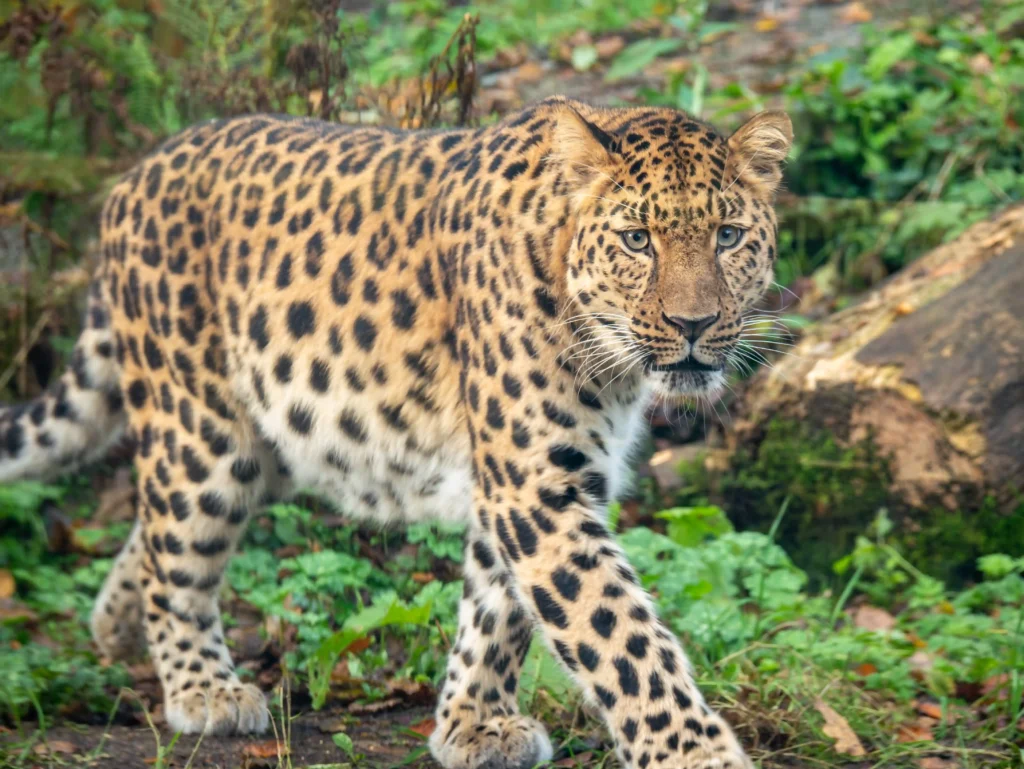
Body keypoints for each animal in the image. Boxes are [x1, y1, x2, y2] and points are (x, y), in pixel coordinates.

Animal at [2, 96, 790, 769]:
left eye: (728, 237)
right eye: (636, 240)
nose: (693, 325)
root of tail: (135, 175)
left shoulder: (532, 477)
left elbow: (497, 605)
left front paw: (473, 723)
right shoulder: (535, 484)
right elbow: (617, 630)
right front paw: (693, 753)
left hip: (275, 434)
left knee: (154, 526)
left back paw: (116, 626)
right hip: (203, 429)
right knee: (178, 549)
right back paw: (203, 687)